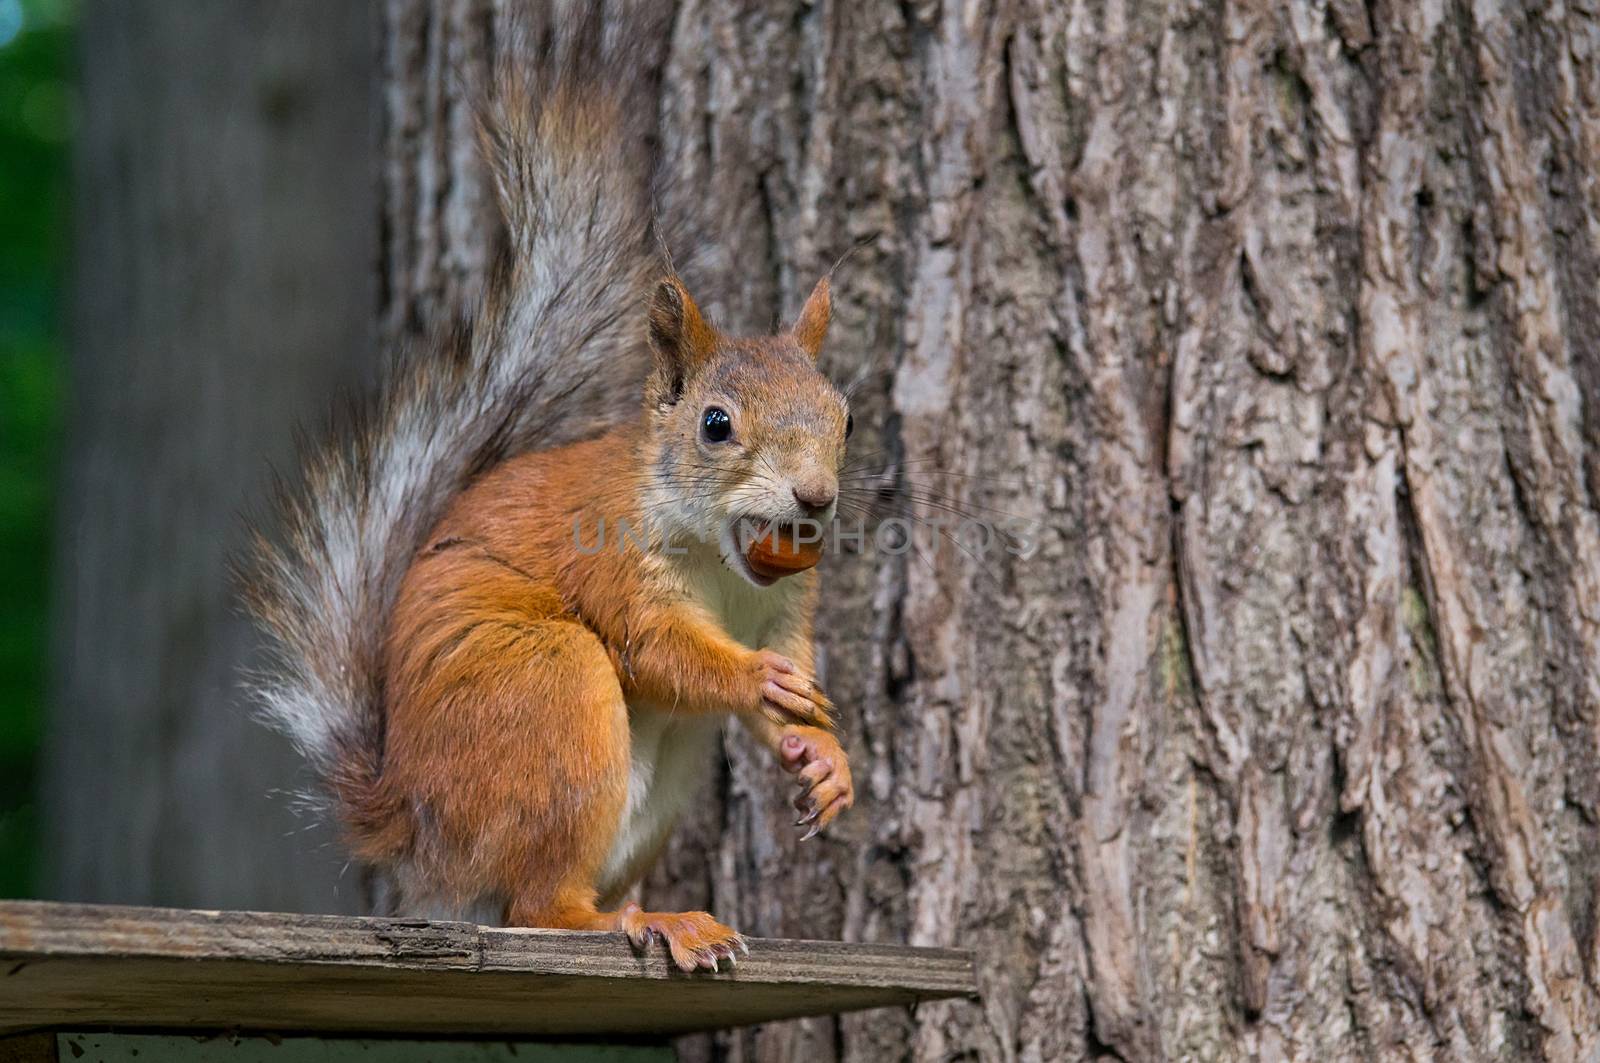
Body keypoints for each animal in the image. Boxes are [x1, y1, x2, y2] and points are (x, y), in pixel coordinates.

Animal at [238, 6, 857, 973]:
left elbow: (791, 678)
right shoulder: (612, 556)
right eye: (716, 424)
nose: (816, 497)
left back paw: (648, 904)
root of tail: (412, 820)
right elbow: (661, 650)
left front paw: (825, 760)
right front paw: (753, 678)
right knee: (538, 905)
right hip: (548, 692)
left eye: (847, 418)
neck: (722, 565)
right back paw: (647, 921)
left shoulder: (789, 607)